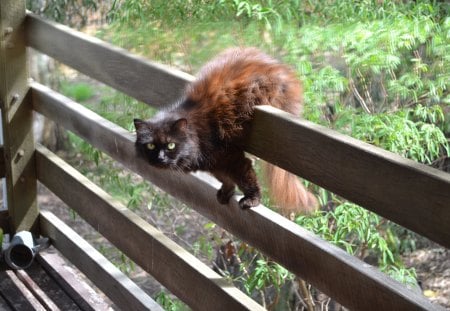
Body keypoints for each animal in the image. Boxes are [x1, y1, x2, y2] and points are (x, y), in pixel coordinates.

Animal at [134, 47, 316, 216]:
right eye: (150, 146)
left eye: (171, 145)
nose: (160, 158)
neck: (196, 131)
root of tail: (282, 69)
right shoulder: (214, 164)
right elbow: (226, 179)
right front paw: (227, 191)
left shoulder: (231, 158)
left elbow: (246, 179)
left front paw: (252, 199)